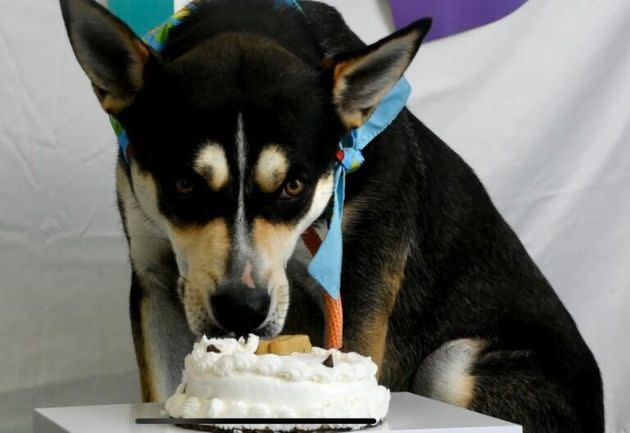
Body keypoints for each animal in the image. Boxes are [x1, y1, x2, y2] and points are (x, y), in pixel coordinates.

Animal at [60, 0, 608, 432]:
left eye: (294, 186)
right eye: (184, 184)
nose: (241, 308)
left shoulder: (360, 283)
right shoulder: (155, 278)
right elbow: (159, 384)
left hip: (454, 367)